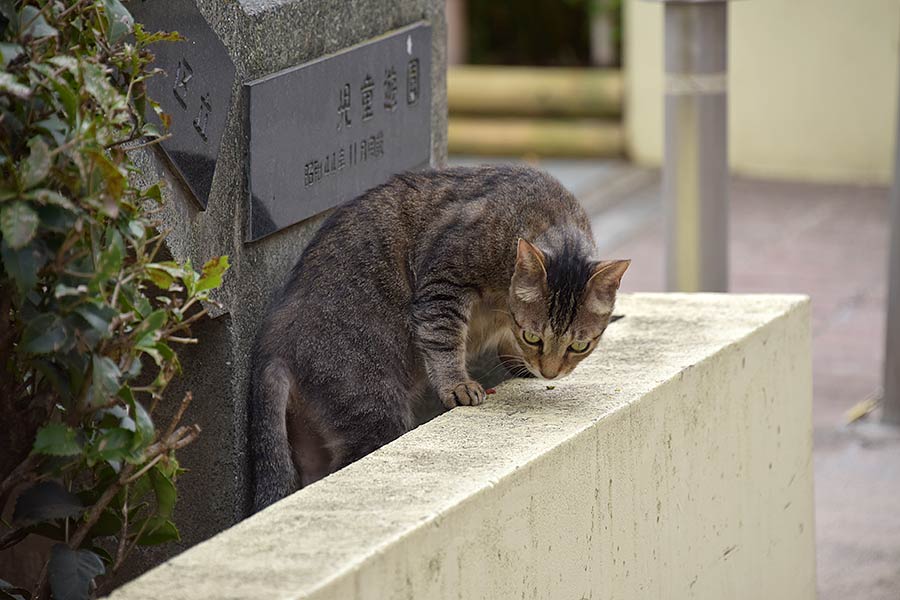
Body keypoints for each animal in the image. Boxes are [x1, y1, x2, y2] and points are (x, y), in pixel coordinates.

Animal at [246, 164, 624, 510]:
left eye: (579, 345)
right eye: (533, 336)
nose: (550, 372)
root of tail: (274, 347)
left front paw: (519, 365)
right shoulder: (444, 283)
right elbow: (444, 339)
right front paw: (459, 385)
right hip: (372, 409)